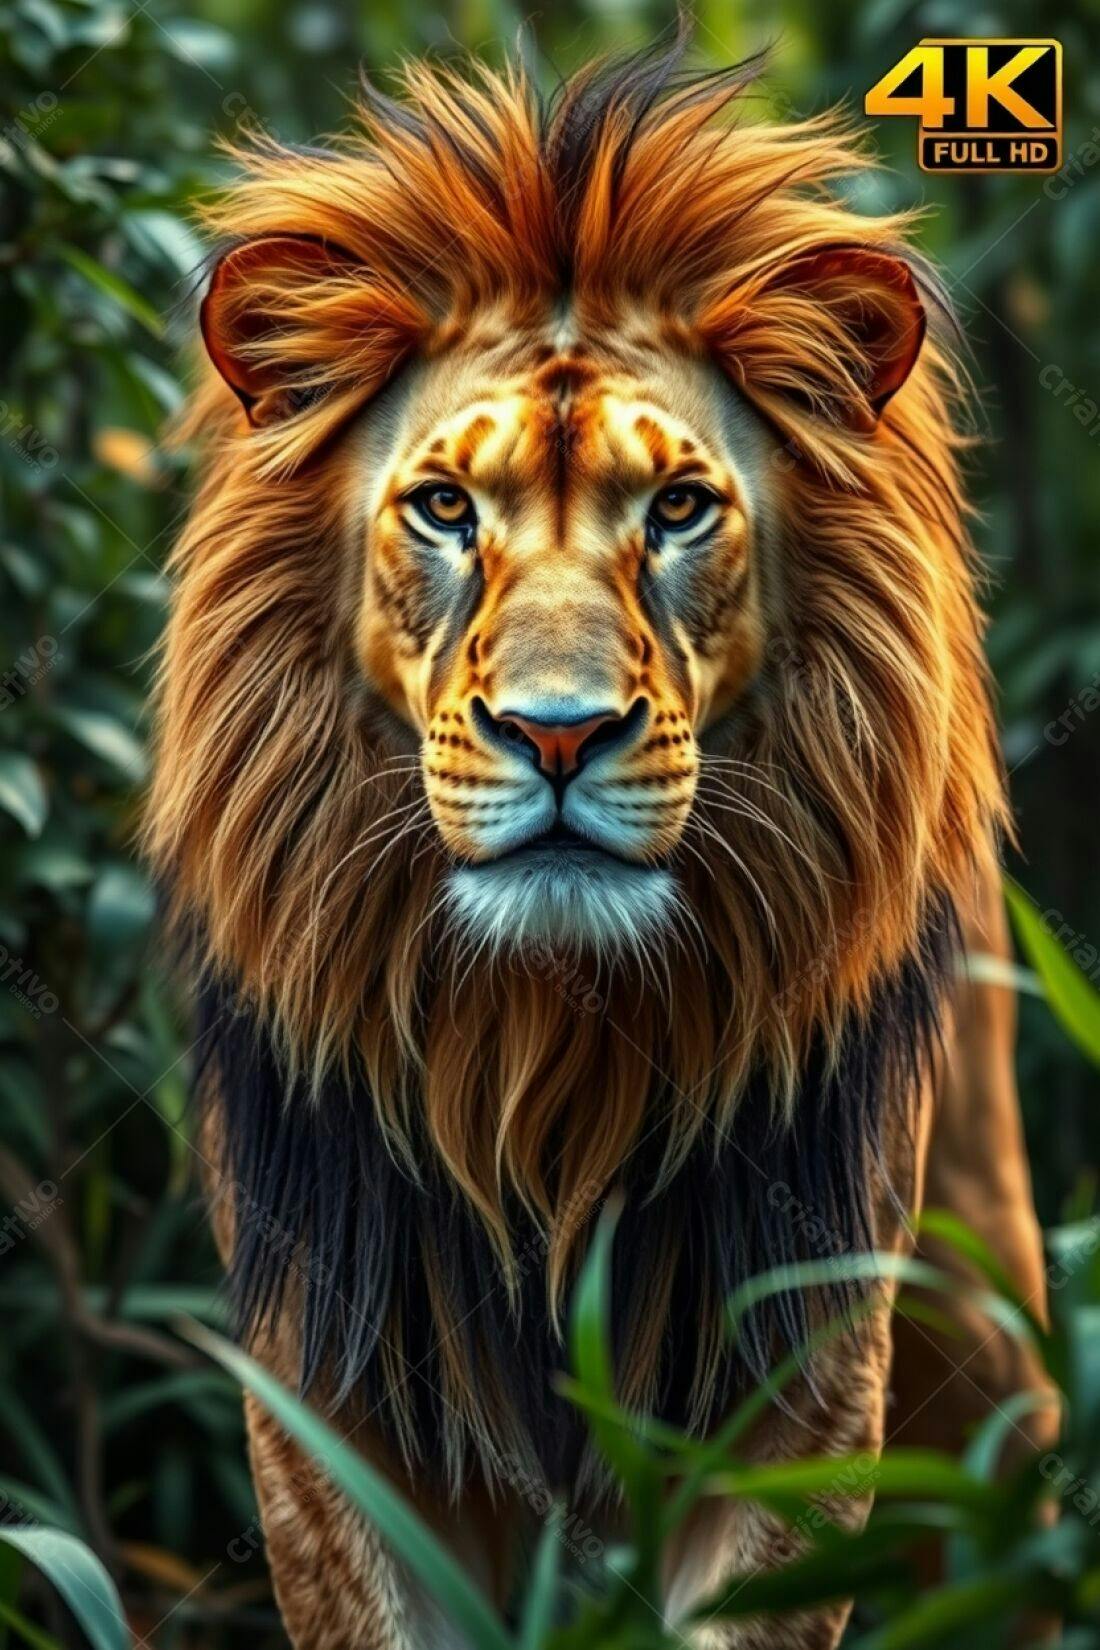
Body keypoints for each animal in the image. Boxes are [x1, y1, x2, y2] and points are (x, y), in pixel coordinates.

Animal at [147, 41, 1055, 1649]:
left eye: (679, 507)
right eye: (445, 507)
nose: (558, 735)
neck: (543, 1050)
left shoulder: (802, 1378)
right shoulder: (333, 1386)